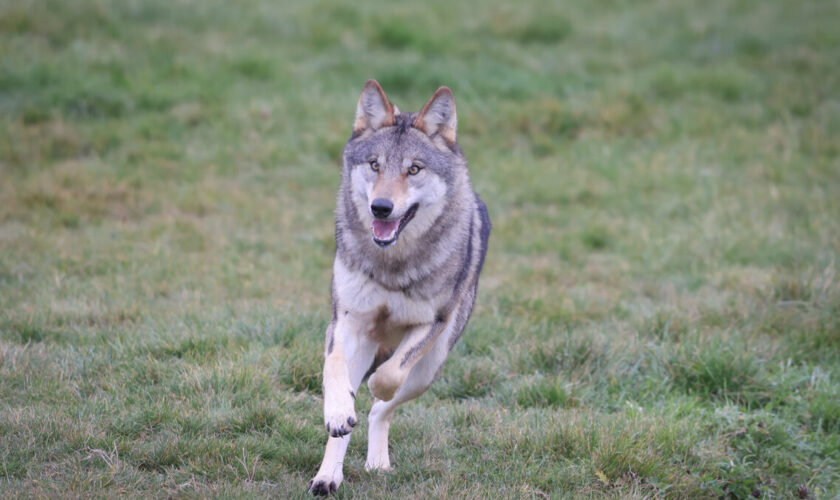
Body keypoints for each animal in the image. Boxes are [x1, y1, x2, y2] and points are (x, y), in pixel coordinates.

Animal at [308, 80, 492, 494]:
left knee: (381, 410)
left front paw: (376, 385)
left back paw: (376, 461)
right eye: (375, 165)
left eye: (414, 169)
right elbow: (334, 368)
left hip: (429, 369)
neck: (391, 263)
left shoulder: (431, 323)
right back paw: (328, 476)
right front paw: (340, 409)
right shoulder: (345, 320)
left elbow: (390, 377)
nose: (380, 207)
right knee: (347, 421)